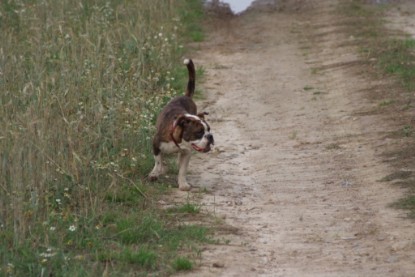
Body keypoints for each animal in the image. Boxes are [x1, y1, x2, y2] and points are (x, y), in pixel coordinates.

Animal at [149, 58, 214, 190]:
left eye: (209, 129)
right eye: (199, 132)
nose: (210, 136)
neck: (178, 141)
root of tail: (186, 96)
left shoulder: (187, 152)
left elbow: (183, 170)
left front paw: (183, 184)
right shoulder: (156, 143)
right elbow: (157, 161)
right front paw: (155, 173)